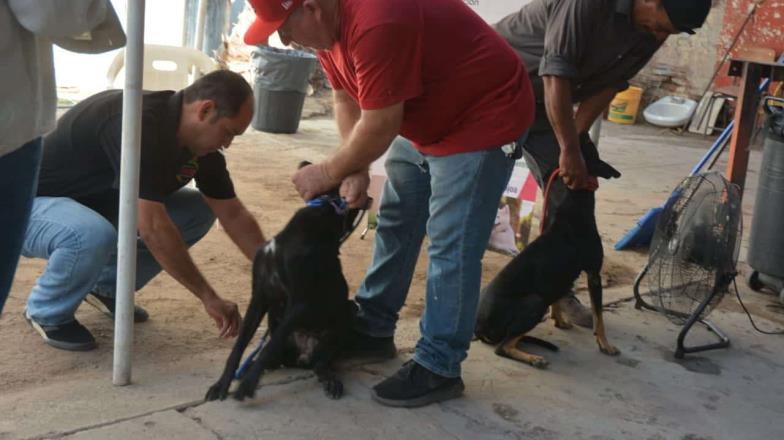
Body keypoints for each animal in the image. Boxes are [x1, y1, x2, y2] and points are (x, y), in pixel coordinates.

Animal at [202, 162, 362, 402]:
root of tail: (302, 356)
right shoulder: (260, 296)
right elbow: (238, 347)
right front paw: (222, 384)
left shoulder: (300, 303)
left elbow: (271, 345)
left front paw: (247, 385)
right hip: (275, 317)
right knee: (279, 359)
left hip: (349, 311)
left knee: (320, 363)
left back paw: (330, 379)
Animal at [474, 138, 620, 368]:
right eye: (595, 155)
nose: (616, 172)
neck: (574, 206)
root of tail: (478, 329)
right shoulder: (594, 273)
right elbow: (599, 317)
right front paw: (605, 345)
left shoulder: (559, 278)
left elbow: (558, 299)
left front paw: (560, 321)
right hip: (535, 302)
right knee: (503, 347)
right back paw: (533, 358)